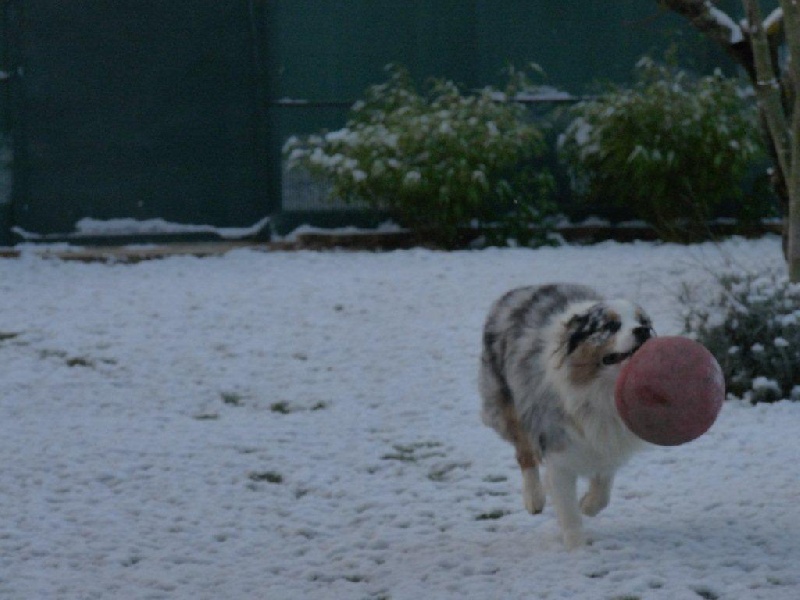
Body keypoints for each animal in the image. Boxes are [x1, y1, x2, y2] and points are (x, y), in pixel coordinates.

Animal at [478, 284, 652, 552]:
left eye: (644, 322)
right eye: (611, 325)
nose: (643, 331)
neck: (601, 388)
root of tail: (516, 291)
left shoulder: (608, 436)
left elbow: (604, 484)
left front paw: (588, 504)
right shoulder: (557, 445)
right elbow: (567, 508)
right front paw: (577, 548)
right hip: (510, 403)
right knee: (524, 452)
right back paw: (534, 498)